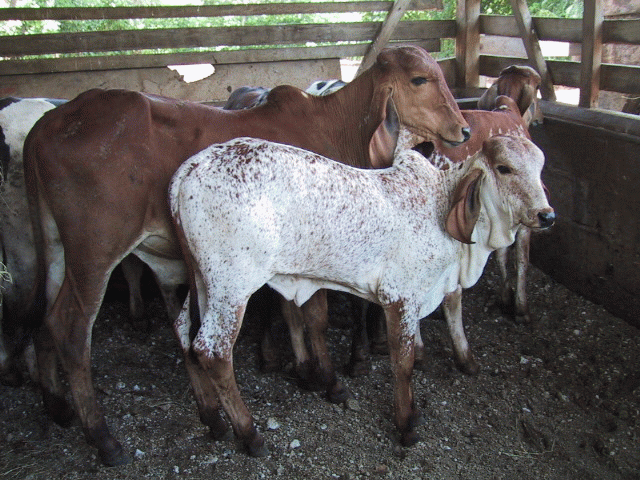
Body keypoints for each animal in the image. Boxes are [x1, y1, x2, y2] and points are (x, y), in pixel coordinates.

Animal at [23, 45, 470, 464]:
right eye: (419, 79)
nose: (464, 129)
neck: (336, 124)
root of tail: (44, 126)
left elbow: (293, 311)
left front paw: (305, 371)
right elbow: (314, 317)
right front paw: (328, 380)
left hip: (58, 249)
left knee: (45, 318)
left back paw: (62, 406)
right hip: (98, 254)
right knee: (74, 330)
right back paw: (106, 438)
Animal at [170, 134, 556, 454]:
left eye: (540, 168)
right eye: (505, 168)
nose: (547, 215)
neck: (440, 201)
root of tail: (192, 166)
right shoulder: (399, 297)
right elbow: (403, 364)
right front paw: (406, 423)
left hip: (203, 282)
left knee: (184, 334)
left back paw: (213, 419)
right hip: (232, 287)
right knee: (212, 351)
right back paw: (249, 435)